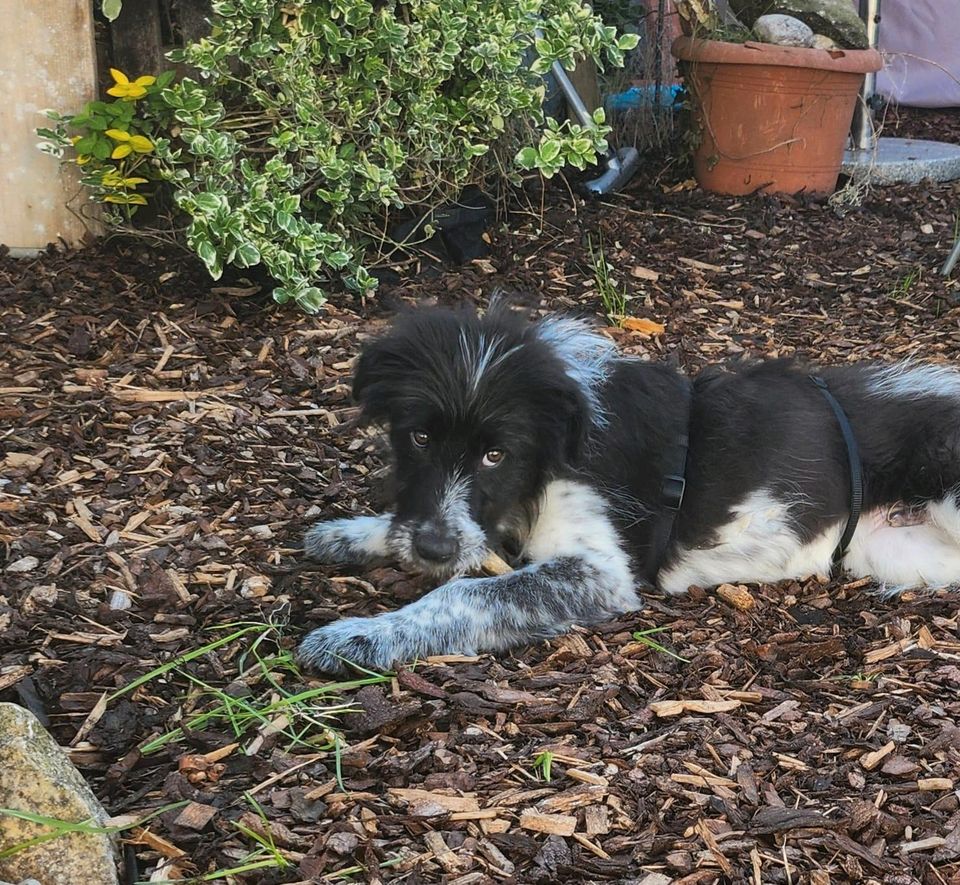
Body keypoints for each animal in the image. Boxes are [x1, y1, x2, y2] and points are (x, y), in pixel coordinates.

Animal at [296, 304, 960, 668]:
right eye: (419, 439)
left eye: (495, 454)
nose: (431, 549)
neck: (561, 439)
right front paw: (351, 534)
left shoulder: (599, 571)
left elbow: (463, 595)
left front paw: (358, 636)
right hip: (899, 552)